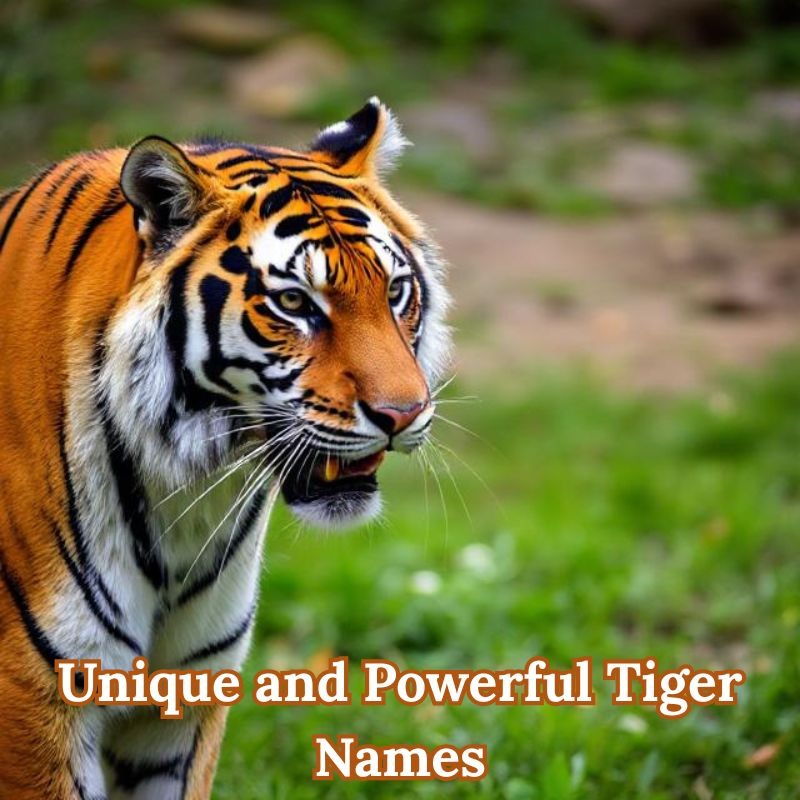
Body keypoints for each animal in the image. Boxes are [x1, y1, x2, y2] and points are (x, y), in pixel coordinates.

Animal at [0, 97, 451, 800]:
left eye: (395, 292)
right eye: (294, 302)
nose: (403, 414)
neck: (188, 492)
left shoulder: (187, 690)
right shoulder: (36, 694)